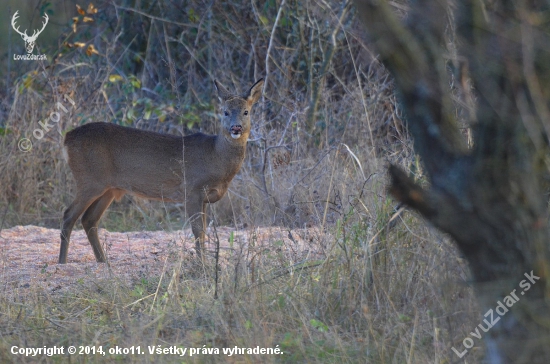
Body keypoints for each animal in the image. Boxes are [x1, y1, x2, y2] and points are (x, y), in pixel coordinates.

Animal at [59, 78, 266, 264]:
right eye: (225, 112)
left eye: (246, 112)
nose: (236, 127)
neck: (215, 156)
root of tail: (67, 138)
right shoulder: (192, 190)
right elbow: (197, 231)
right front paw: (203, 265)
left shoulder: (205, 198)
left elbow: (203, 231)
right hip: (89, 180)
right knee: (69, 215)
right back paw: (62, 262)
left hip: (108, 188)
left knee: (89, 220)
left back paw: (103, 261)